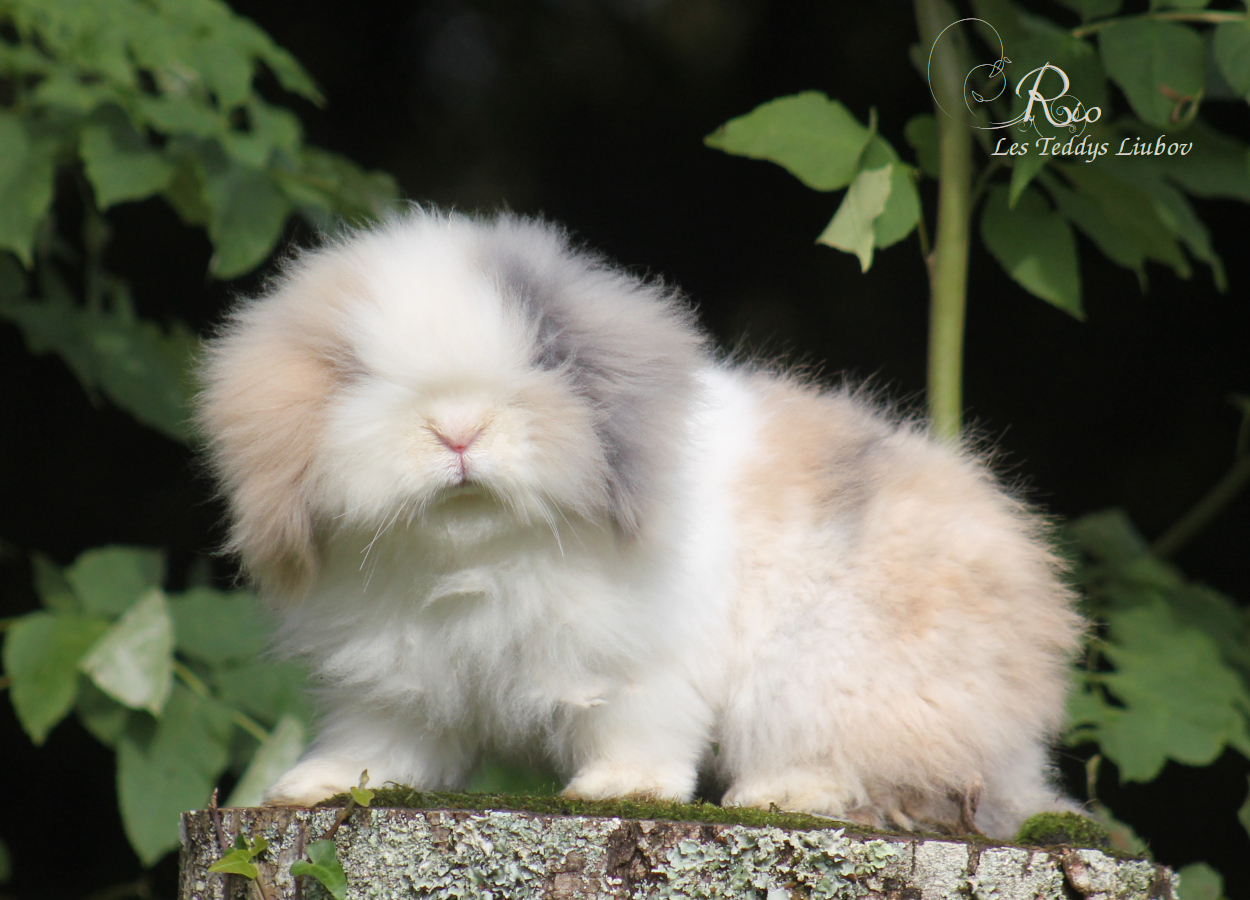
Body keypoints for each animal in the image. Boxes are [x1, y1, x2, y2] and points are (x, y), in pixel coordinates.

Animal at [195, 208, 1086, 838]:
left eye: (546, 359)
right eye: (356, 374)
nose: (457, 429)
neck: (476, 553)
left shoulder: (642, 665)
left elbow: (640, 731)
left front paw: (617, 789)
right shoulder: (394, 686)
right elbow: (377, 747)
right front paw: (311, 788)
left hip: (829, 680)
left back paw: (776, 796)